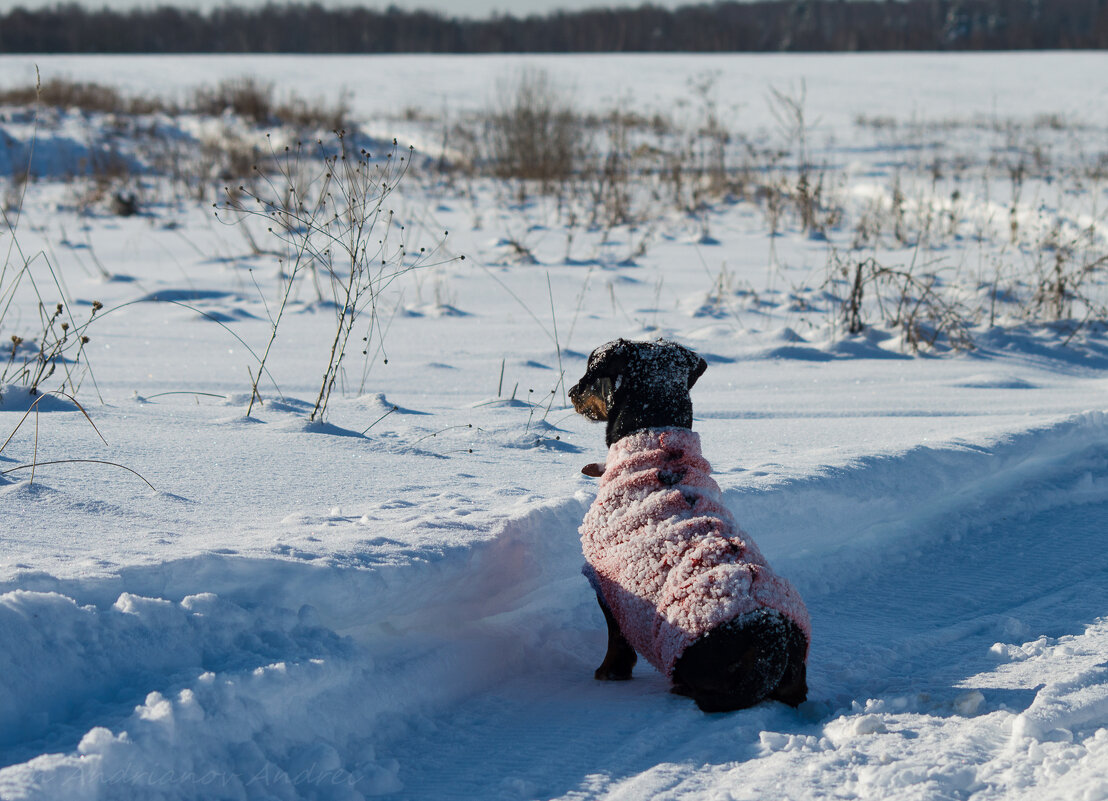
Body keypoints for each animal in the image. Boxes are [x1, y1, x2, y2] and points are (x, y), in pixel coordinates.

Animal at [571, 339, 806, 713]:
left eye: (591, 375)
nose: (570, 392)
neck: (656, 439)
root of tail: (773, 641)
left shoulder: (605, 584)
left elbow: (616, 643)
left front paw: (608, 674)